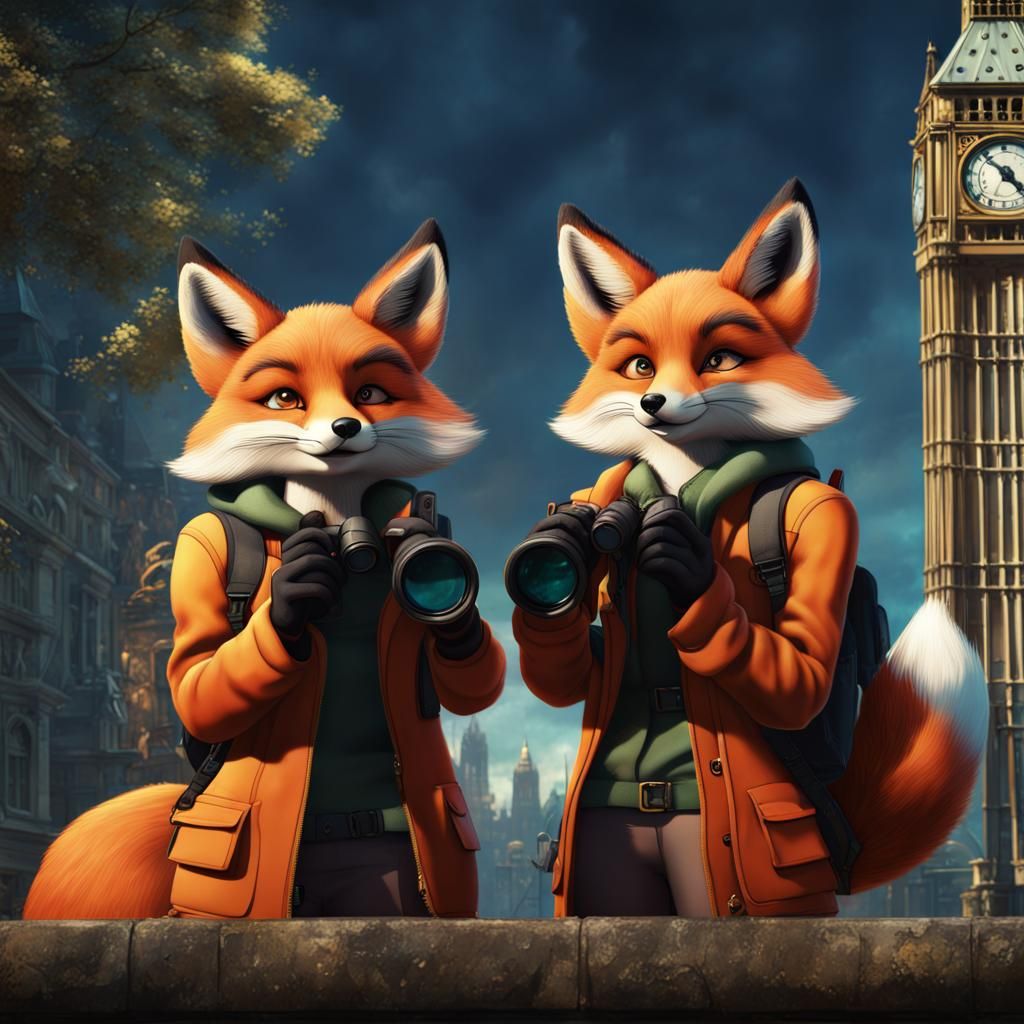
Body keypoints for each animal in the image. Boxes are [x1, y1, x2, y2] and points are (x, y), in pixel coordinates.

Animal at [24, 220, 505, 920]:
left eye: (371, 393)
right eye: (284, 398)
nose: (344, 427)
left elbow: (472, 684)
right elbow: (197, 683)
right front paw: (289, 604)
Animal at [510, 180, 989, 916]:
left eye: (719, 359)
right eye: (638, 364)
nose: (652, 402)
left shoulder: (828, 523)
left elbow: (801, 676)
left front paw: (685, 562)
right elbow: (579, 672)